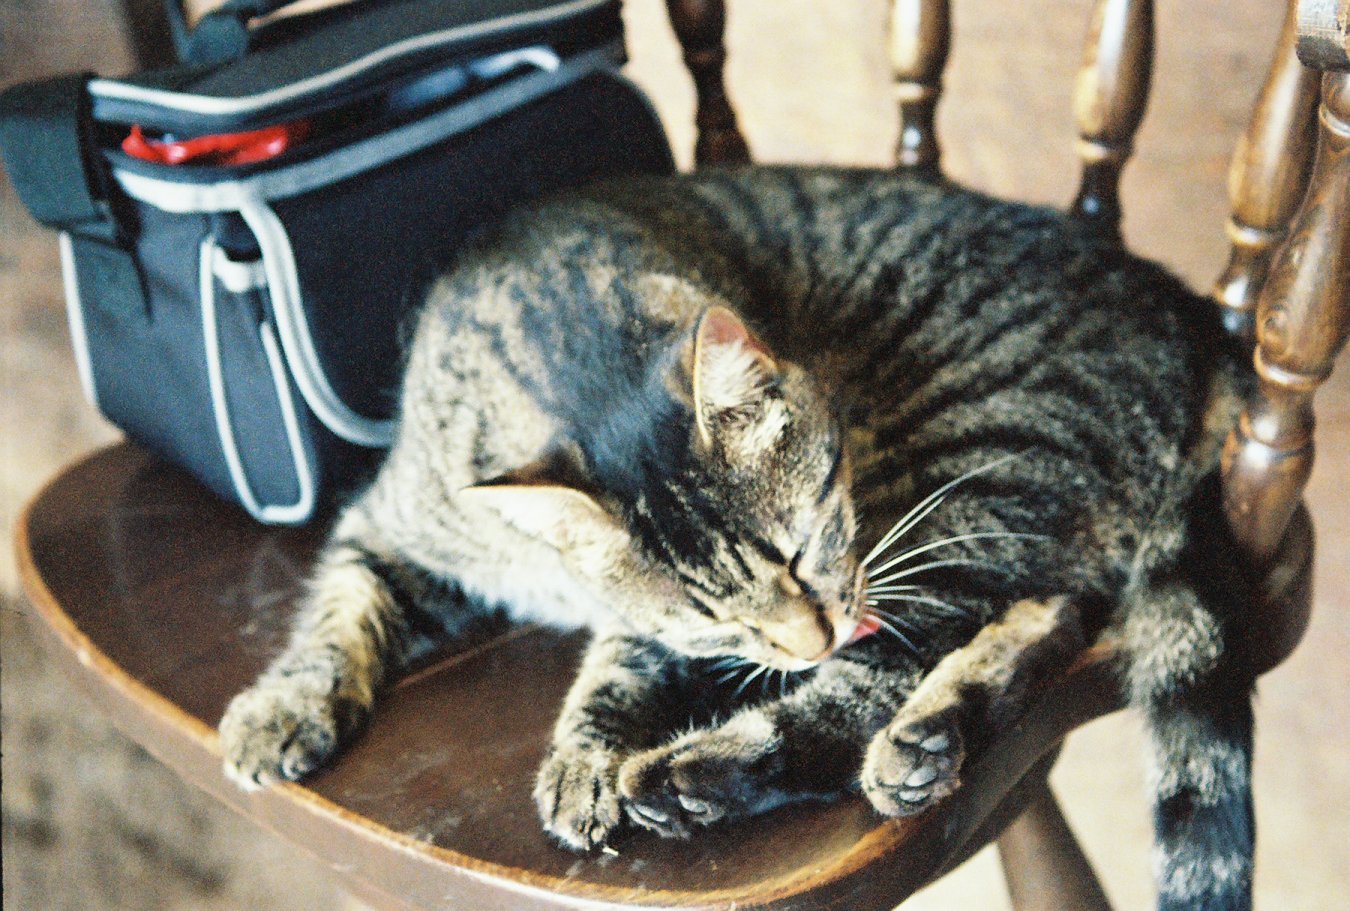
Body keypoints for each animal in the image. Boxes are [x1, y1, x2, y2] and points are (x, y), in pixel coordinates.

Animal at [216, 167, 1258, 906]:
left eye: (801, 549)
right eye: (718, 617)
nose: (810, 637)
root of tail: (1199, 321)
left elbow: (615, 672)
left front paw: (584, 759)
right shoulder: (391, 525)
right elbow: (338, 618)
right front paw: (282, 709)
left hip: (972, 473)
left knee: (884, 673)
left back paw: (706, 773)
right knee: (1049, 612)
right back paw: (927, 737)